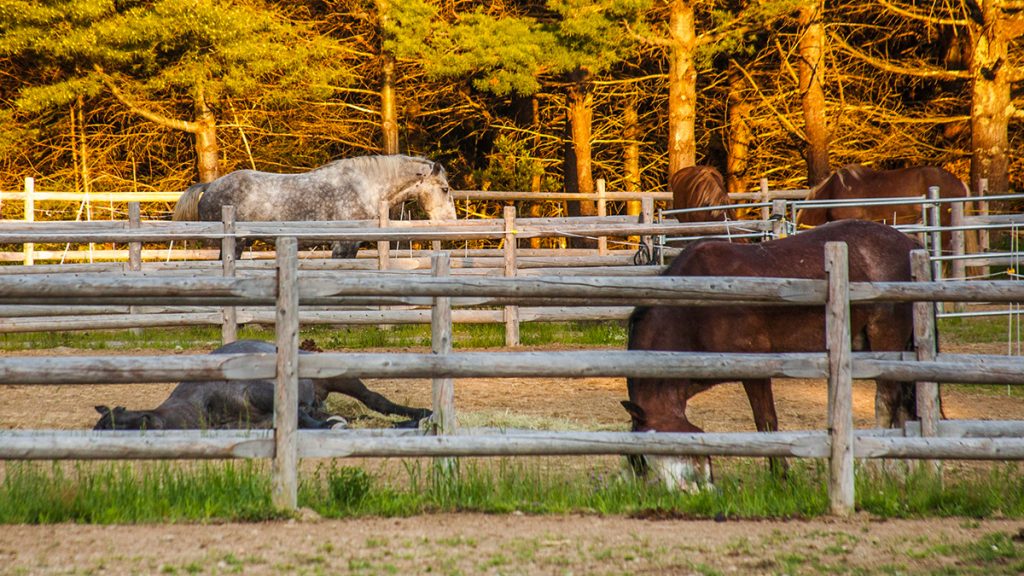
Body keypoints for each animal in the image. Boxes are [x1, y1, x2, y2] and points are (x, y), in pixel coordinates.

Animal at [618, 219, 925, 487]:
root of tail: (909, 243)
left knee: (887, 401)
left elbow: (766, 422)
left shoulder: (755, 370)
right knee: (904, 404)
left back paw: (873, 471)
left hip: (886, 339)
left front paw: (781, 476)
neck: (695, 306)